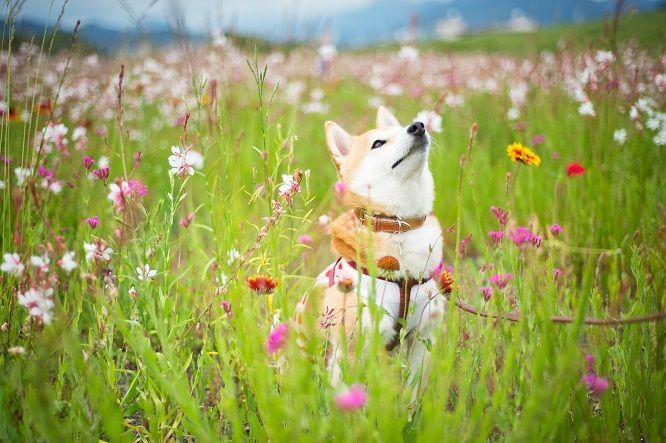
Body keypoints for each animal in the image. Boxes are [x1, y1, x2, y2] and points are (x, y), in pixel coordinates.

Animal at [296, 107, 446, 392]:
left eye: (403, 127)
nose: (418, 126)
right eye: (378, 143)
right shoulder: (351, 348)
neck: (397, 225)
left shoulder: (421, 339)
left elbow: (412, 392)